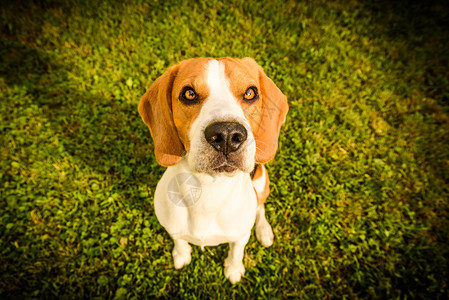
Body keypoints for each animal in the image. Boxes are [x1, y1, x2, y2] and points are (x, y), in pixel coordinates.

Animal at [138, 56, 288, 284]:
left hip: (262, 181)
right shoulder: (171, 227)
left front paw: (233, 270)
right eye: (189, 94)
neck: (209, 189)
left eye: (250, 93)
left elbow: (236, 252)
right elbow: (179, 240)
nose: (227, 134)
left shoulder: (240, 237)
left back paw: (264, 231)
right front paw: (181, 255)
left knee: (260, 207)